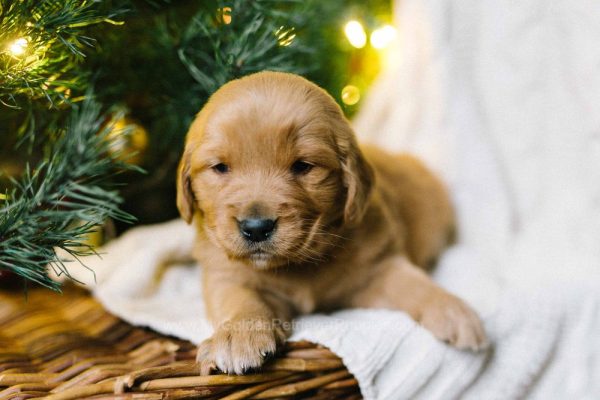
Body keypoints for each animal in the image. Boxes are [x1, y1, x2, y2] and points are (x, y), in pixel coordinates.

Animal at [176, 70, 486, 374]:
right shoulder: (224, 273)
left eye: (302, 166)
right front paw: (237, 336)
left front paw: (455, 311)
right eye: (220, 167)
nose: (256, 228)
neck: (298, 265)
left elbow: (414, 284)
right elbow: (239, 299)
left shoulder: (378, 267)